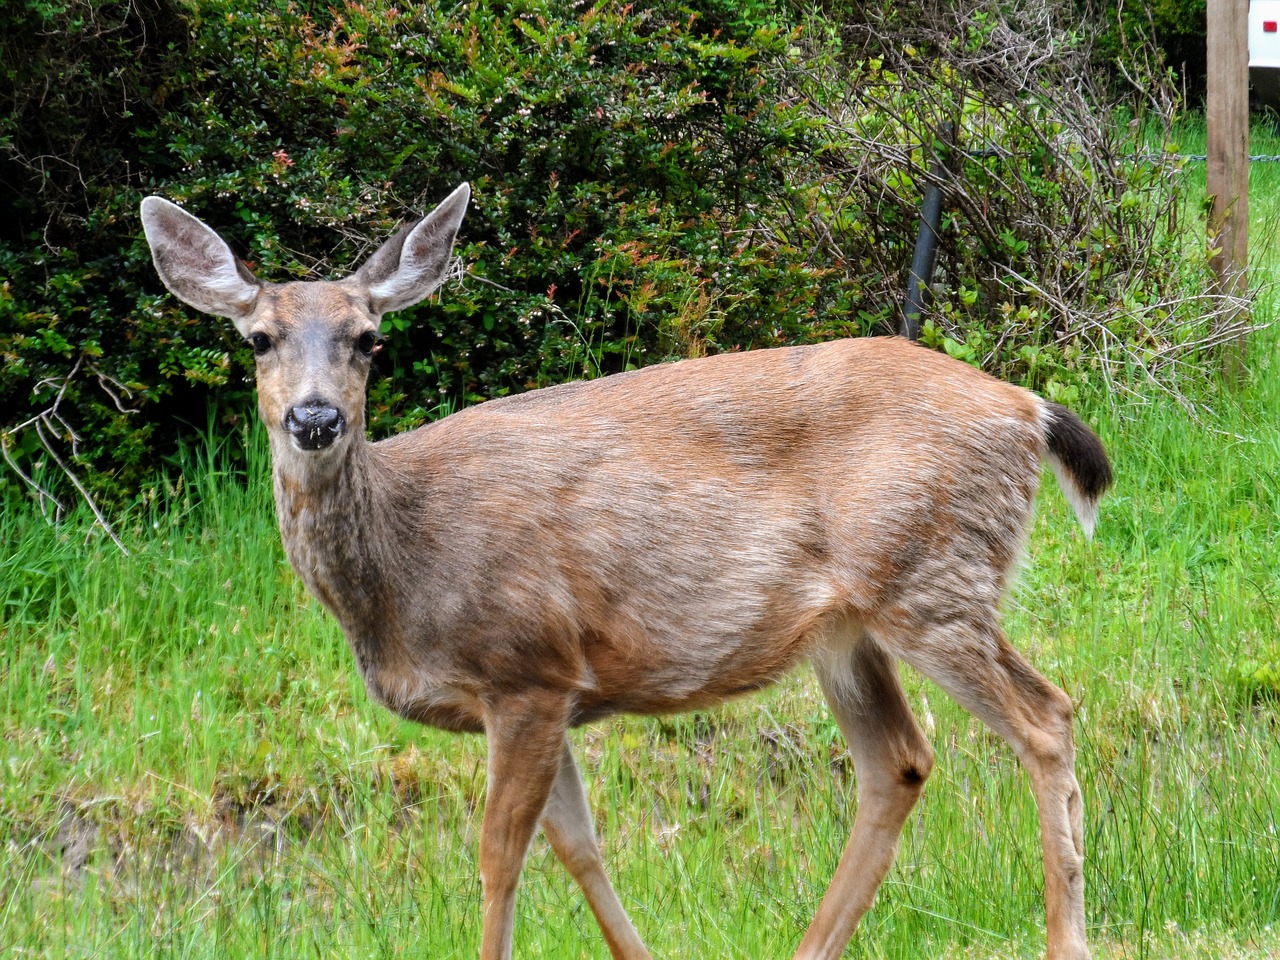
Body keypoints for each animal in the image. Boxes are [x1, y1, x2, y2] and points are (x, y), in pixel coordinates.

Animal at [142, 181, 1111, 960]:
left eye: (369, 338)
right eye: (259, 338)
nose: (314, 419)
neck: (401, 567)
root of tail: (1028, 410)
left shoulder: (524, 665)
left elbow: (499, 856)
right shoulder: (547, 689)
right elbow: (578, 845)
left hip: (928, 574)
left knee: (1045, 718)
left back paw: (1067, 938)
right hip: (855, 625)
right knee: (901, 761)